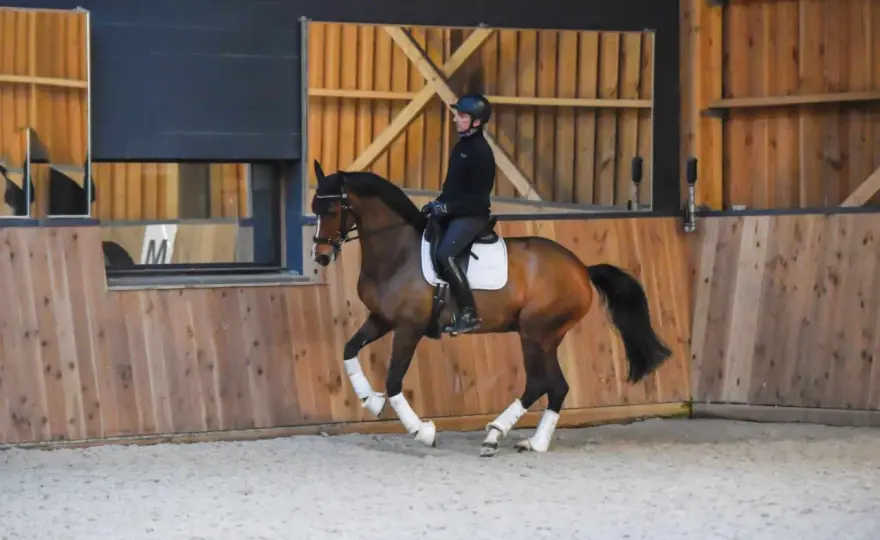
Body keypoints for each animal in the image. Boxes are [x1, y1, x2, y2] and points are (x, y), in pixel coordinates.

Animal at [309, 160, 672, 457]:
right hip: (547, 338)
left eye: (332, 210)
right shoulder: (382, 319)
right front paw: (370, 400)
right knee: (557, 387)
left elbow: (395, 380)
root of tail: (582, 268)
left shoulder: (409, 327)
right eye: (315, 208)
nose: (321, 256)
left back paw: (495, 434)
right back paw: (534, 442)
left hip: (535, 333)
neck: (398, 253)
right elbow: (348, 350)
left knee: (538, 384)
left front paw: (422, 431)